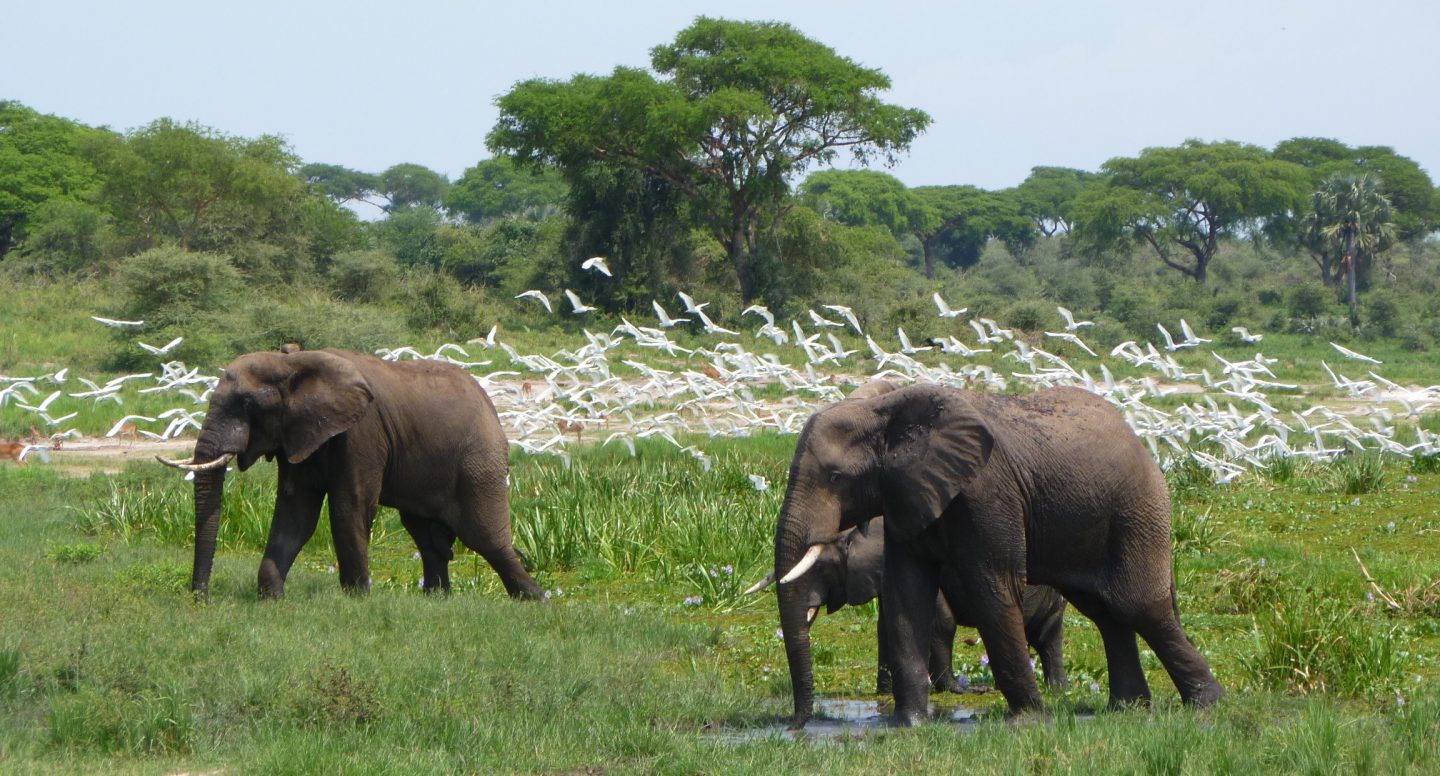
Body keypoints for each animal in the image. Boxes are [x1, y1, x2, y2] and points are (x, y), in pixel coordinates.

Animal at [156, 349, 541, 604]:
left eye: (248, 405)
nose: (201, 599)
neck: (292, 362)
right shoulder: (299, 435)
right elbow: (296, 514)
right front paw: (273, 599)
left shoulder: (360, 433)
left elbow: (349, 507)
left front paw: (356, 599)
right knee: (427, 535)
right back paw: (436, 600)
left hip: (480, 460)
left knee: (485, 535)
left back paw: (536, 600)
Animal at [754, 515, 1071, 722]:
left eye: (820, 568)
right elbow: (886, 627)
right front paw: (883, 692)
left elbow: (941, 623)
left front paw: (955, 690)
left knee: (1048, 635)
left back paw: (1057, 689)